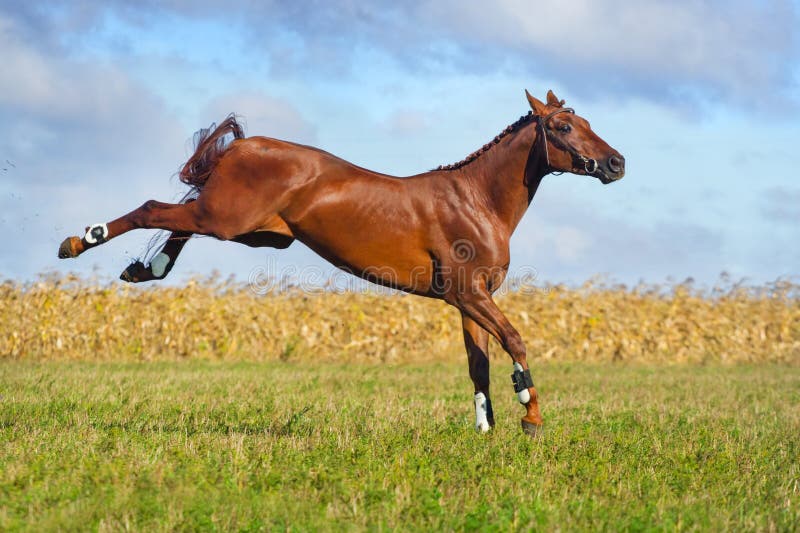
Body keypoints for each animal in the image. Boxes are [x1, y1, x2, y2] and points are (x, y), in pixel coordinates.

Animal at [59, 88, 628, 436]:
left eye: (586, 121)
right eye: (562, 126)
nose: (616, 163)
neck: (474, 199)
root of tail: (244, 146)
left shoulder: (471, 301)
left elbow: (479, 364)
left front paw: (485, 429)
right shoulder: (468, 293)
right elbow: (515, 340)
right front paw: (530, 412)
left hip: (252, 232)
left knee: (177, 219)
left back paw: (144, 268)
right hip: (228, 219)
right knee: (153, 208)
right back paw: (80, 240)